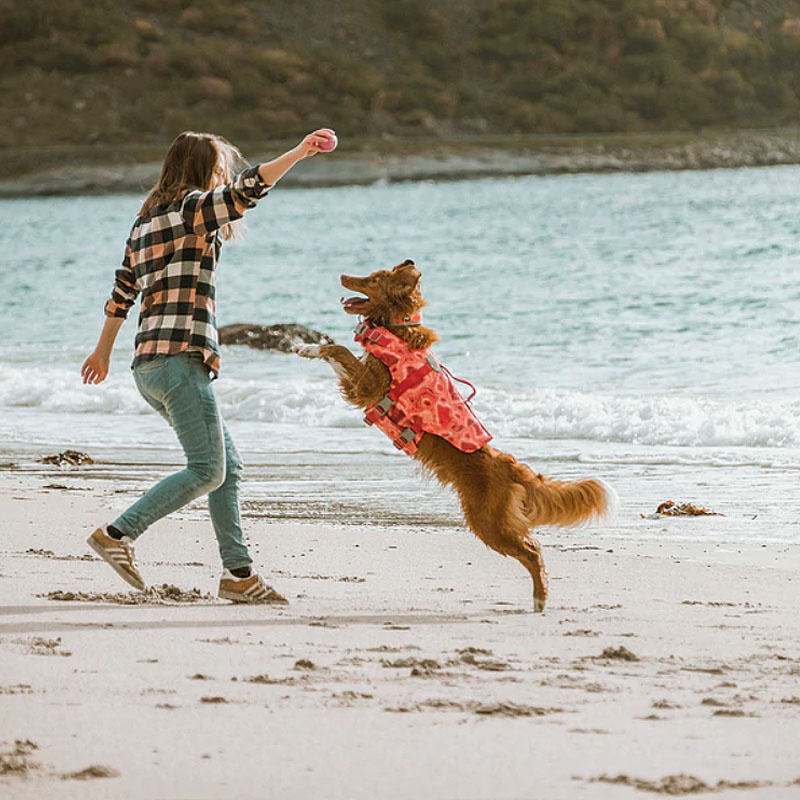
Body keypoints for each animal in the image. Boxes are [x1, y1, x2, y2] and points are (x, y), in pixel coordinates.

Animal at [294, 260, 612, 608]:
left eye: (374, 280)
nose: (342, 275)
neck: (396, 327)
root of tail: (507, 466)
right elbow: (336, 348)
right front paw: (305, 345)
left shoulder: (368, 386)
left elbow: (337, 348)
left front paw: (305, 346)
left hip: (488, 523)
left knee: (533, 551)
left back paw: (540, 599)